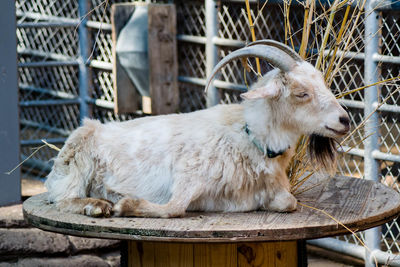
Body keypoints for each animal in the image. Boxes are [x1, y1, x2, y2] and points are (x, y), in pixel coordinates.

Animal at [45, 40, 348, 220]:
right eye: (301, 93)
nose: (344, 120)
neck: (247, 137)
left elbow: (289, 202)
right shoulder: (188, 174)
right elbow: (174, 208)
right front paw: (125, 204)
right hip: (78, 162)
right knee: (62, 198)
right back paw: (98, 205)